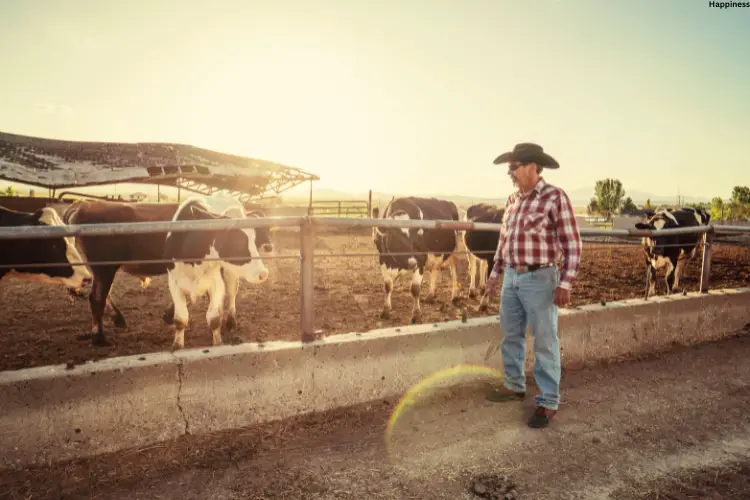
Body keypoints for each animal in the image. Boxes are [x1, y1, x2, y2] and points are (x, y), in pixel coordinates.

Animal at [164, 197, 270, 350]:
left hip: (230, 274)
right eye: (237, 241)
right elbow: (181, 318)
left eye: (254, 239)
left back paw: (231, 321)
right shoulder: (174, 282)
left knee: (232, 294)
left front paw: (218, 344)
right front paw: (177, 346)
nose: (263, 273)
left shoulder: (216, 283)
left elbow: (214, 319)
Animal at [374, 195, 462, 324]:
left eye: (416, 235)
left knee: (454, 271)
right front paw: (385, 310)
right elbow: (388, 286)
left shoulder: (420, 260)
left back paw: (455, 296)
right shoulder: (383, 260)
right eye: (396, 236)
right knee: (435, 270)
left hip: (453, 251)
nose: (412, 263)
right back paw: (430, 296)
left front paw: (416, 315)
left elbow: (415, 289)